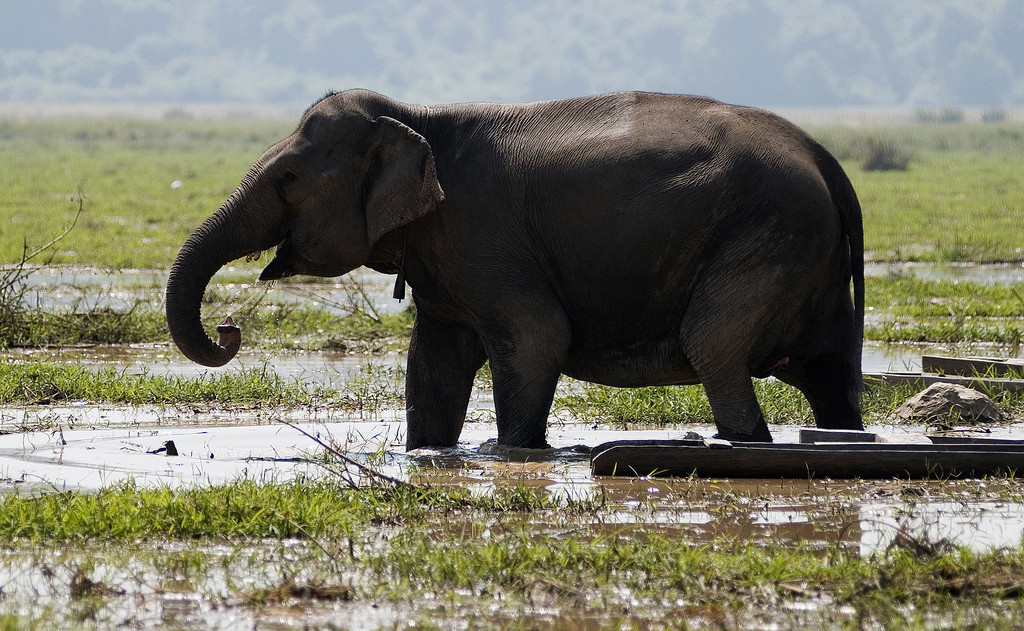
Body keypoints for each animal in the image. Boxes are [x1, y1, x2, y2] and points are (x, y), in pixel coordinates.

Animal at [165, 91, 864, 450]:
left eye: (287, 179)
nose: (228, 331)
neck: (420, 118)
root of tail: (827, 160)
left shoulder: (484, 236)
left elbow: (535, 336)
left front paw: (515, 455)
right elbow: (434, 363)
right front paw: (429, 454)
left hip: (768, 234)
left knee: (713, 344)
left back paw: (749, 445)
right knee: (831, 372)